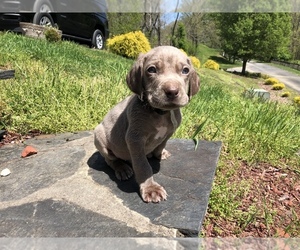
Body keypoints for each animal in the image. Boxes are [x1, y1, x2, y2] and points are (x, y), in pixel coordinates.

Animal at [95, 45, 200, 203]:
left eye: (185, 70)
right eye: (151, 70)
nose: (172, 91)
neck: (161, 113)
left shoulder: (169, 132)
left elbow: (161, 144)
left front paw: (159, 153)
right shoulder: (135, 139)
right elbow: (142, 165)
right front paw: (150, 188)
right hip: (99, 136)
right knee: (110, 159)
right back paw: (122, 168)